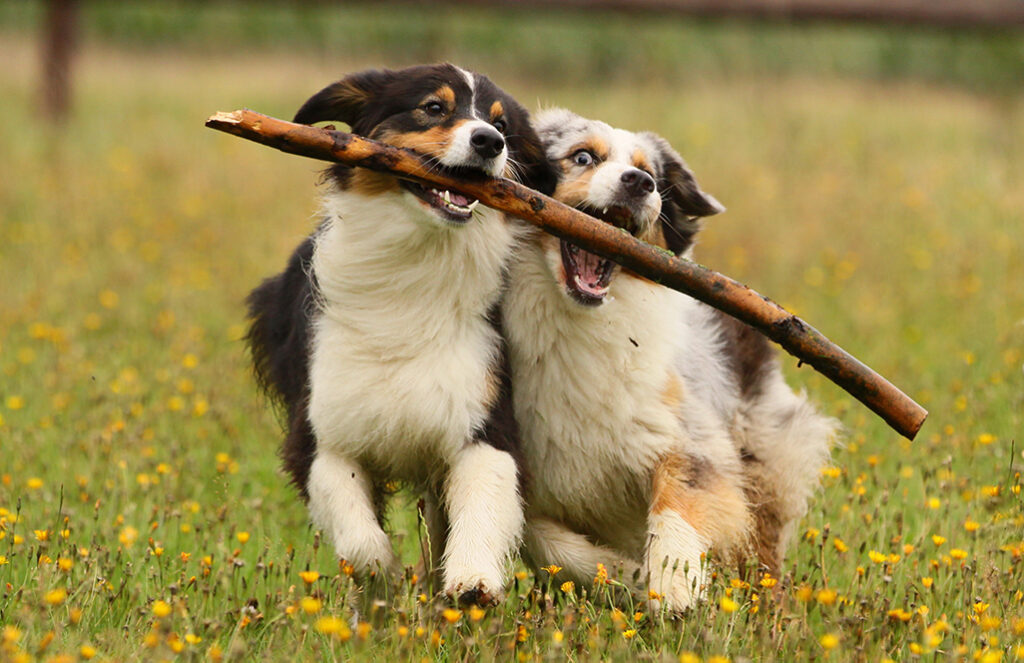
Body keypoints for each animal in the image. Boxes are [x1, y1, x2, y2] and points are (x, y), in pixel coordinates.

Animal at [246, 64, 557, 602]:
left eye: (503, 125)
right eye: (433, 107)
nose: (489, 141)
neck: (417, 264)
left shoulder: (484, 415)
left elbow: (483, 502)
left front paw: (472, 581)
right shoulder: (323, 432)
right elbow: (363, 542)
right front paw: (384, 582)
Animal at [501, 110, 831, 610]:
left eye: (651, 175)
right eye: (583, 157)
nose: (639, 183)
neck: (578, 322)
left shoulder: (689, 436)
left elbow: (678, 503)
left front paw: (674, 586)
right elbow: (545, 541)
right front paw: (625, 573)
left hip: (766, 456)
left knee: (763, 552)